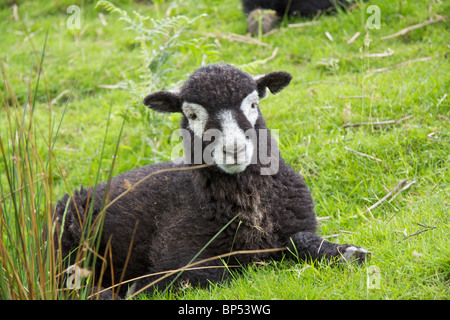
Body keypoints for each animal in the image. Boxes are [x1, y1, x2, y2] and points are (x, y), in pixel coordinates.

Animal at [54, 63, 370, 298]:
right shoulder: (176, 252)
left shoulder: (296, 225)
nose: (234, 149)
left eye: (253, 104)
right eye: (192, 115)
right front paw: (141, 287)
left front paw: (347, 252)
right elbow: (214, 274)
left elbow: (301, 240)